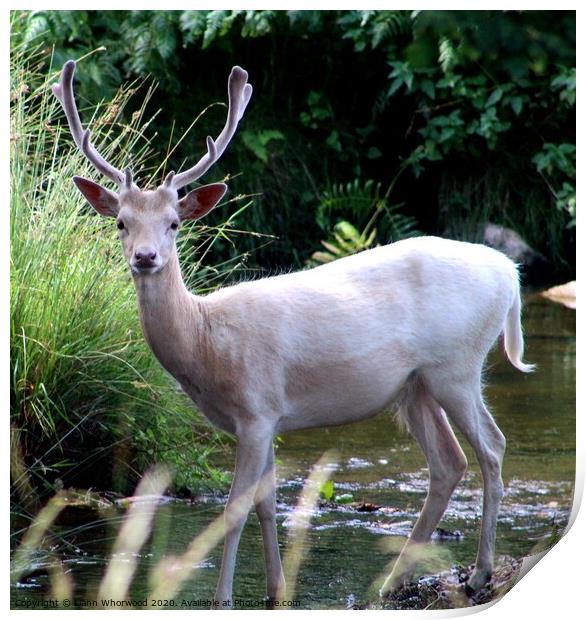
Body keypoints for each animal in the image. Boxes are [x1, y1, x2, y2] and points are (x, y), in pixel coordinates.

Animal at [52, 59, 532, 604]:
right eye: (121, 223)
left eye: (174, 222)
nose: (146, 257)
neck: (205, 344)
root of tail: (510, 274)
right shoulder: (268, 418)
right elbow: (266, 504)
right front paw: (277, 590)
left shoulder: (257, 408)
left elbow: (235, 508)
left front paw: (223, 598)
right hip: (415, 386)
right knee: (449, 462)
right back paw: (392, 582)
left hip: (457, 364)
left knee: (491, 448)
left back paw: (479, 573)